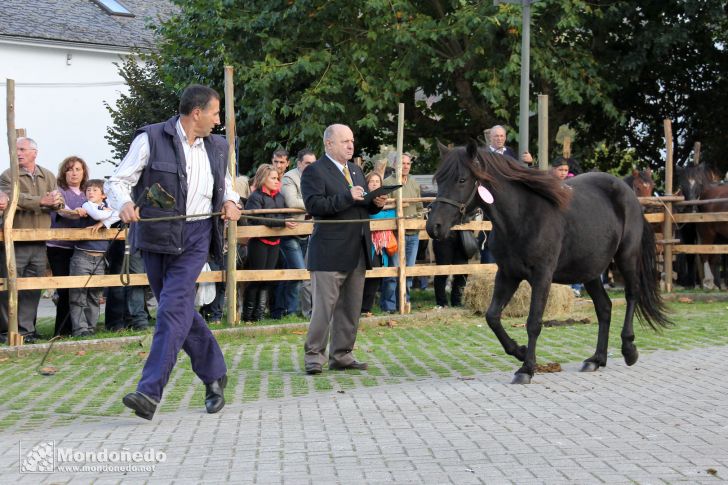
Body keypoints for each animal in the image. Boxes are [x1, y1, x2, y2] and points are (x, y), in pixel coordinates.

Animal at [426, 142, 672, 384]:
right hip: (589, 270)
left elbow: (533, 322)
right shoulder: (508, 274)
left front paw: (526, 369)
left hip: (626, 256)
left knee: (632, 295)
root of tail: (628, 193)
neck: (522, 216)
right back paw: (596, 359)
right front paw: (520, 352)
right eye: (439, 179)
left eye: (461, 179)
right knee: (604, 308)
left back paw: (629, 349)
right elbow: (492, 317)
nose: (434, 226)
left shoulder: (542, 276)